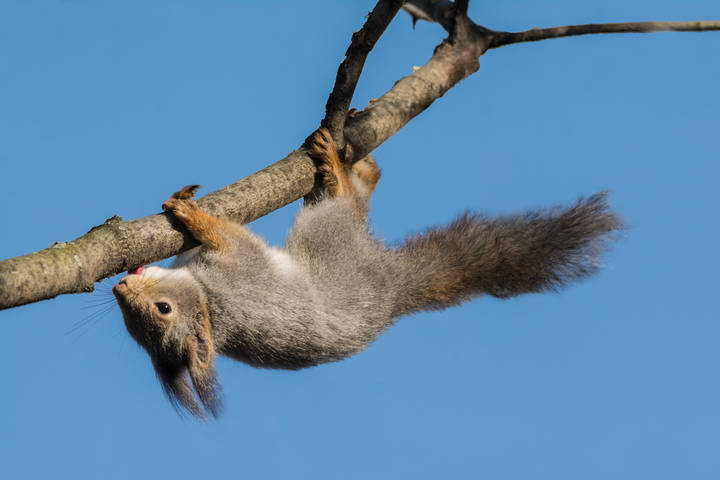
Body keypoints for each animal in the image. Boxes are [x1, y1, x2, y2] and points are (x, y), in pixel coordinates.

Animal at [113, 128, 622, 419]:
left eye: (161, 309)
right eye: (148, 319)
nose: (118, 287)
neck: (207, 299)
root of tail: (394, 286)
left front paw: (182, 207)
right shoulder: (240, 267)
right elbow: (223, 236)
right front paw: (190, 213)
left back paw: (357, 163)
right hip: (329, 236)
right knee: (345, 206)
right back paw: (341, 172)